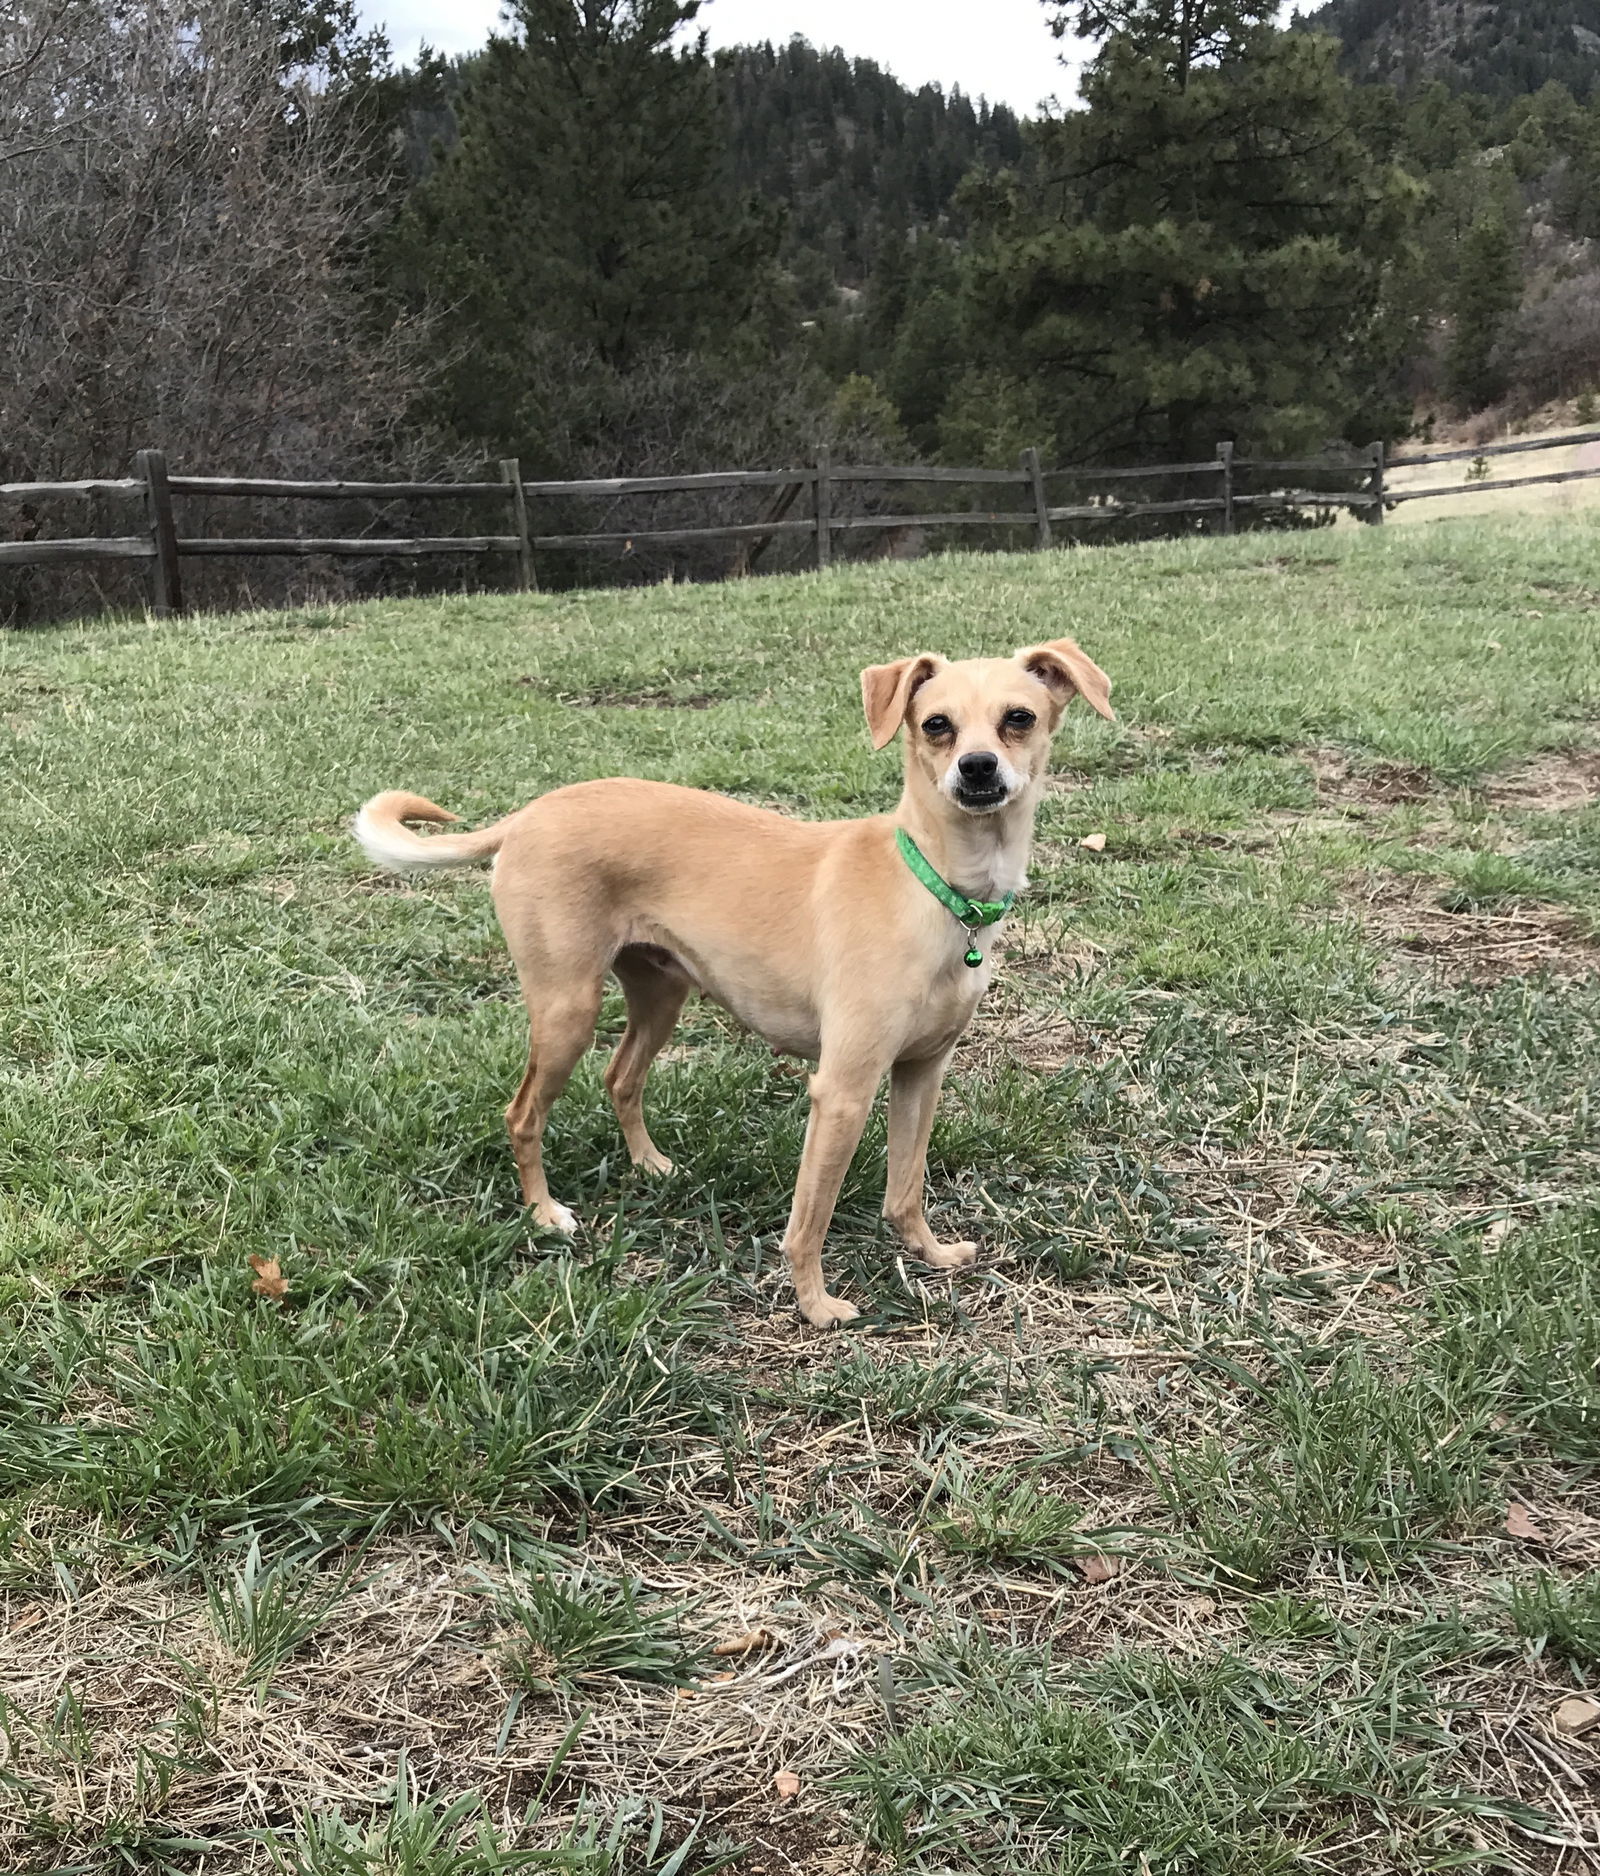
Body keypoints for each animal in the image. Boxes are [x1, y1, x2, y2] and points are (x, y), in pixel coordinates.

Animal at [352, 637, 1110, 1328]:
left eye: (1019, 717)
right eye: (936, 725)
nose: (977, 768)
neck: (936, 887)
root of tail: (531, 812)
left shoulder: (921, 1073)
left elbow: (906, 1185)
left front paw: (928, 1252)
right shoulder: (841, 1092)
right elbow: (810, 1218)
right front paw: (814, 1306)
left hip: (661, 994)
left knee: (621, 1078)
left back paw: (649, 1165)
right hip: (567, 1009)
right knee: (523, 1115)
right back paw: (544, 1214)